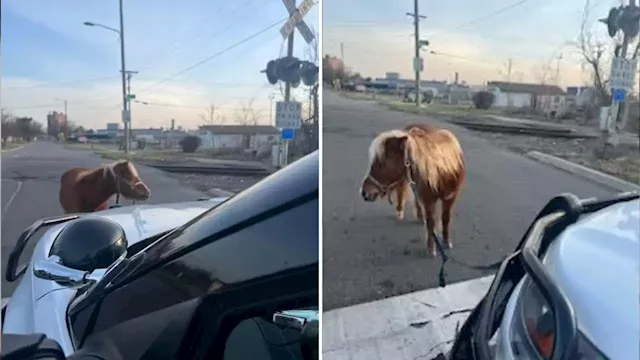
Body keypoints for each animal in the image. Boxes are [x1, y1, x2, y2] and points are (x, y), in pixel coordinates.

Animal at [360, 124, 464, 256]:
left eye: (382, 162)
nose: (364, 192)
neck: (443, 172)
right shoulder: (429, 199)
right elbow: (431, 222)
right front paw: (431, 249)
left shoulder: (451, 197)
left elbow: (446, 218)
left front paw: (446, 242)